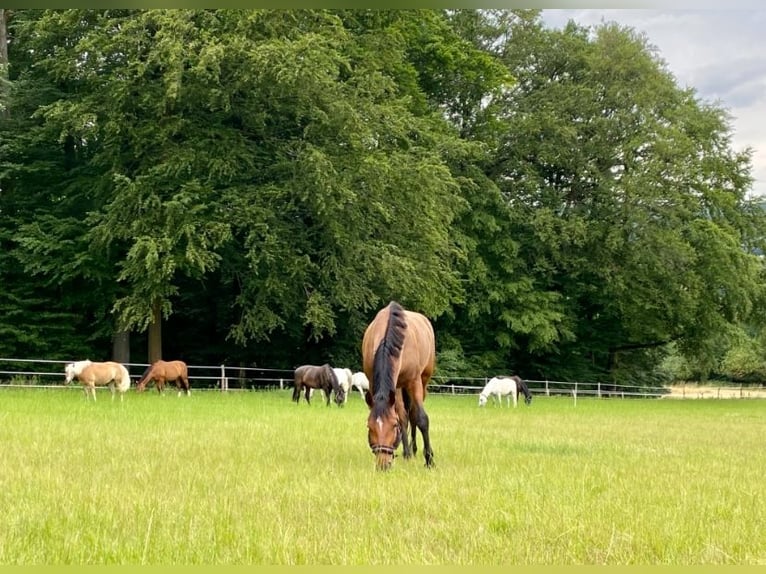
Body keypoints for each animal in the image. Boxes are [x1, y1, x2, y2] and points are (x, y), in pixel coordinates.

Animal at [364, 302, 436, 472]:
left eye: (393, 425)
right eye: (369, 427)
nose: (383, 465)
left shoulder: (414, 382)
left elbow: (421, 418)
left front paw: (429, 460)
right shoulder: (377, 384)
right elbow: (402, 417)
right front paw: (406, 452)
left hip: (423, 381)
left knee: (414, 414)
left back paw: (415, 450)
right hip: (398, 388)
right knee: (405, 414)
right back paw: (409, 452)